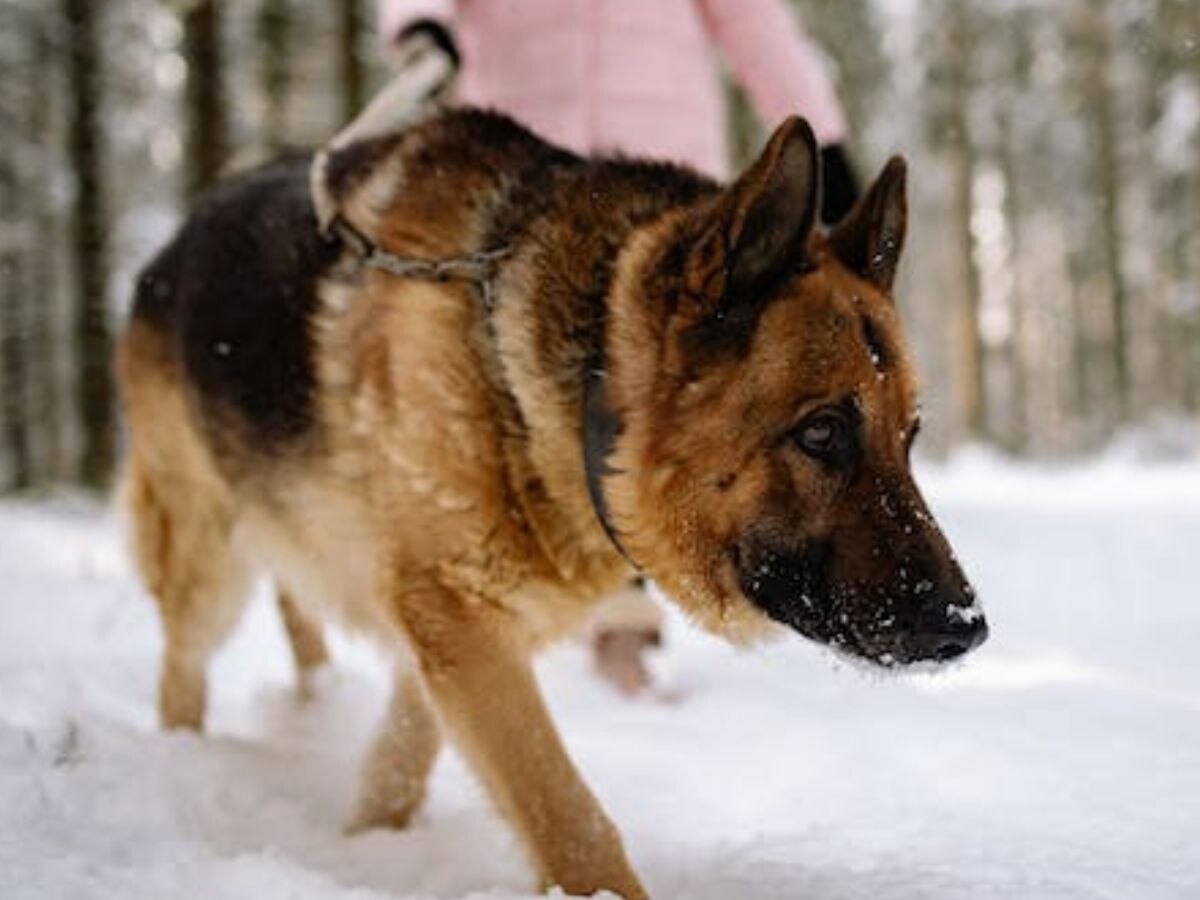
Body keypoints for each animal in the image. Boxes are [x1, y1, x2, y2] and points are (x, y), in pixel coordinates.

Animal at [117, 95, 988, 897]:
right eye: (821, 432)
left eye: (909, 435)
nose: (967, 628)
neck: (572, 407)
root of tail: (175, 238)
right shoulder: (456, 618)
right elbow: (570, 820)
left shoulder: (442, 625)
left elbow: (404, 756)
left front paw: (369, 846)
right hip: (207, 568)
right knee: (180, 670)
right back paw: (180, 760)